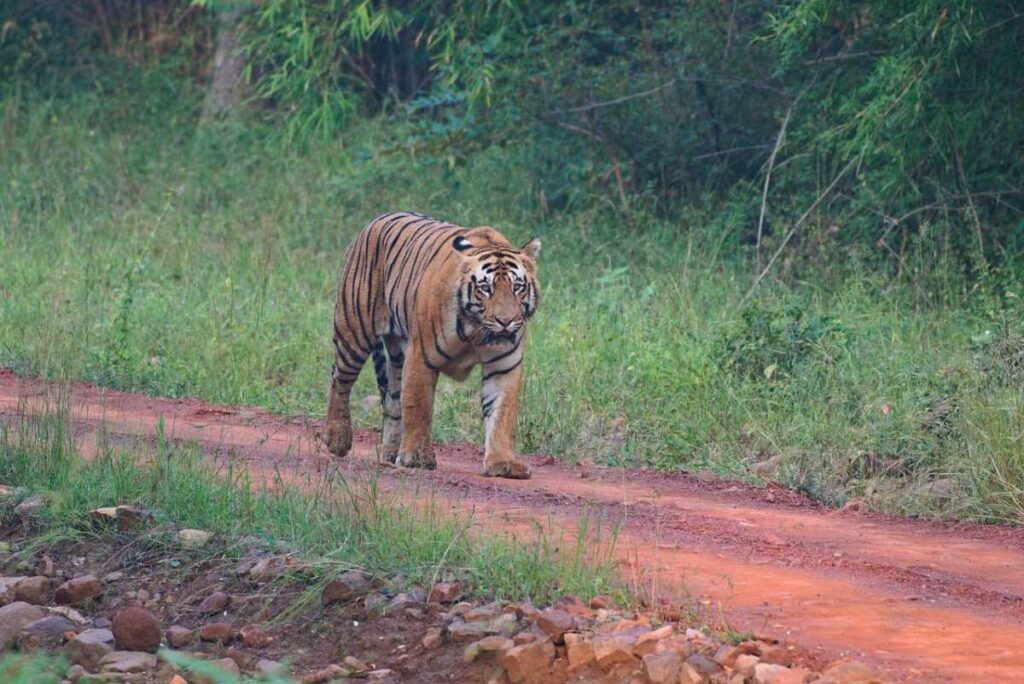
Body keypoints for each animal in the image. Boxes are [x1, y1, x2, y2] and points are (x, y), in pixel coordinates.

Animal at [323, 211, 541, 479]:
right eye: (485, 288)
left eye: (517, 287)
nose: (505, 321)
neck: (476, 331)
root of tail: (376, 219)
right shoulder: (421, 356)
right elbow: (419, 406)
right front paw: (417, 457)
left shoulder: (504, 365)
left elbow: (502, 413)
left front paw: (503, 463)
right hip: (353, 330)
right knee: (339, 379)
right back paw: (337, 438)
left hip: (396, 353)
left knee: (393, 401)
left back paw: (389, 453)